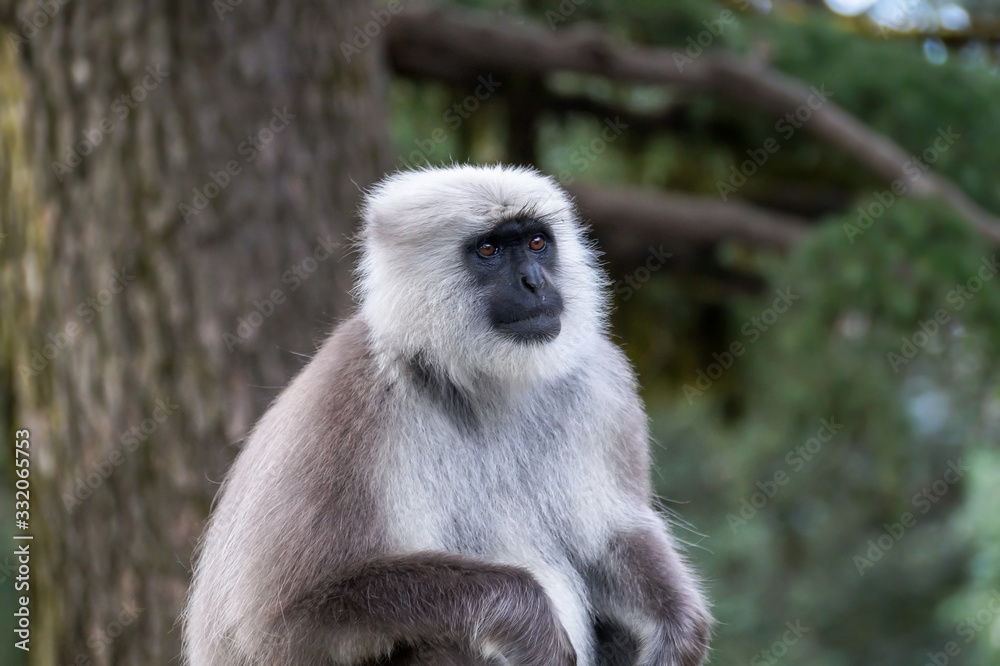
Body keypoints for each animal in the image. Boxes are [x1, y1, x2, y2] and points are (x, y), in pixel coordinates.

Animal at [182, 164, 712, 666]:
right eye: (489, 250)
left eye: (537, 242)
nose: (535, 282)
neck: (485, 389)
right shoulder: (346, 398)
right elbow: (276, 622)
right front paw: (530, 622)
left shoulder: (599, 383)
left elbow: (613, 537)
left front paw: (678, 626)